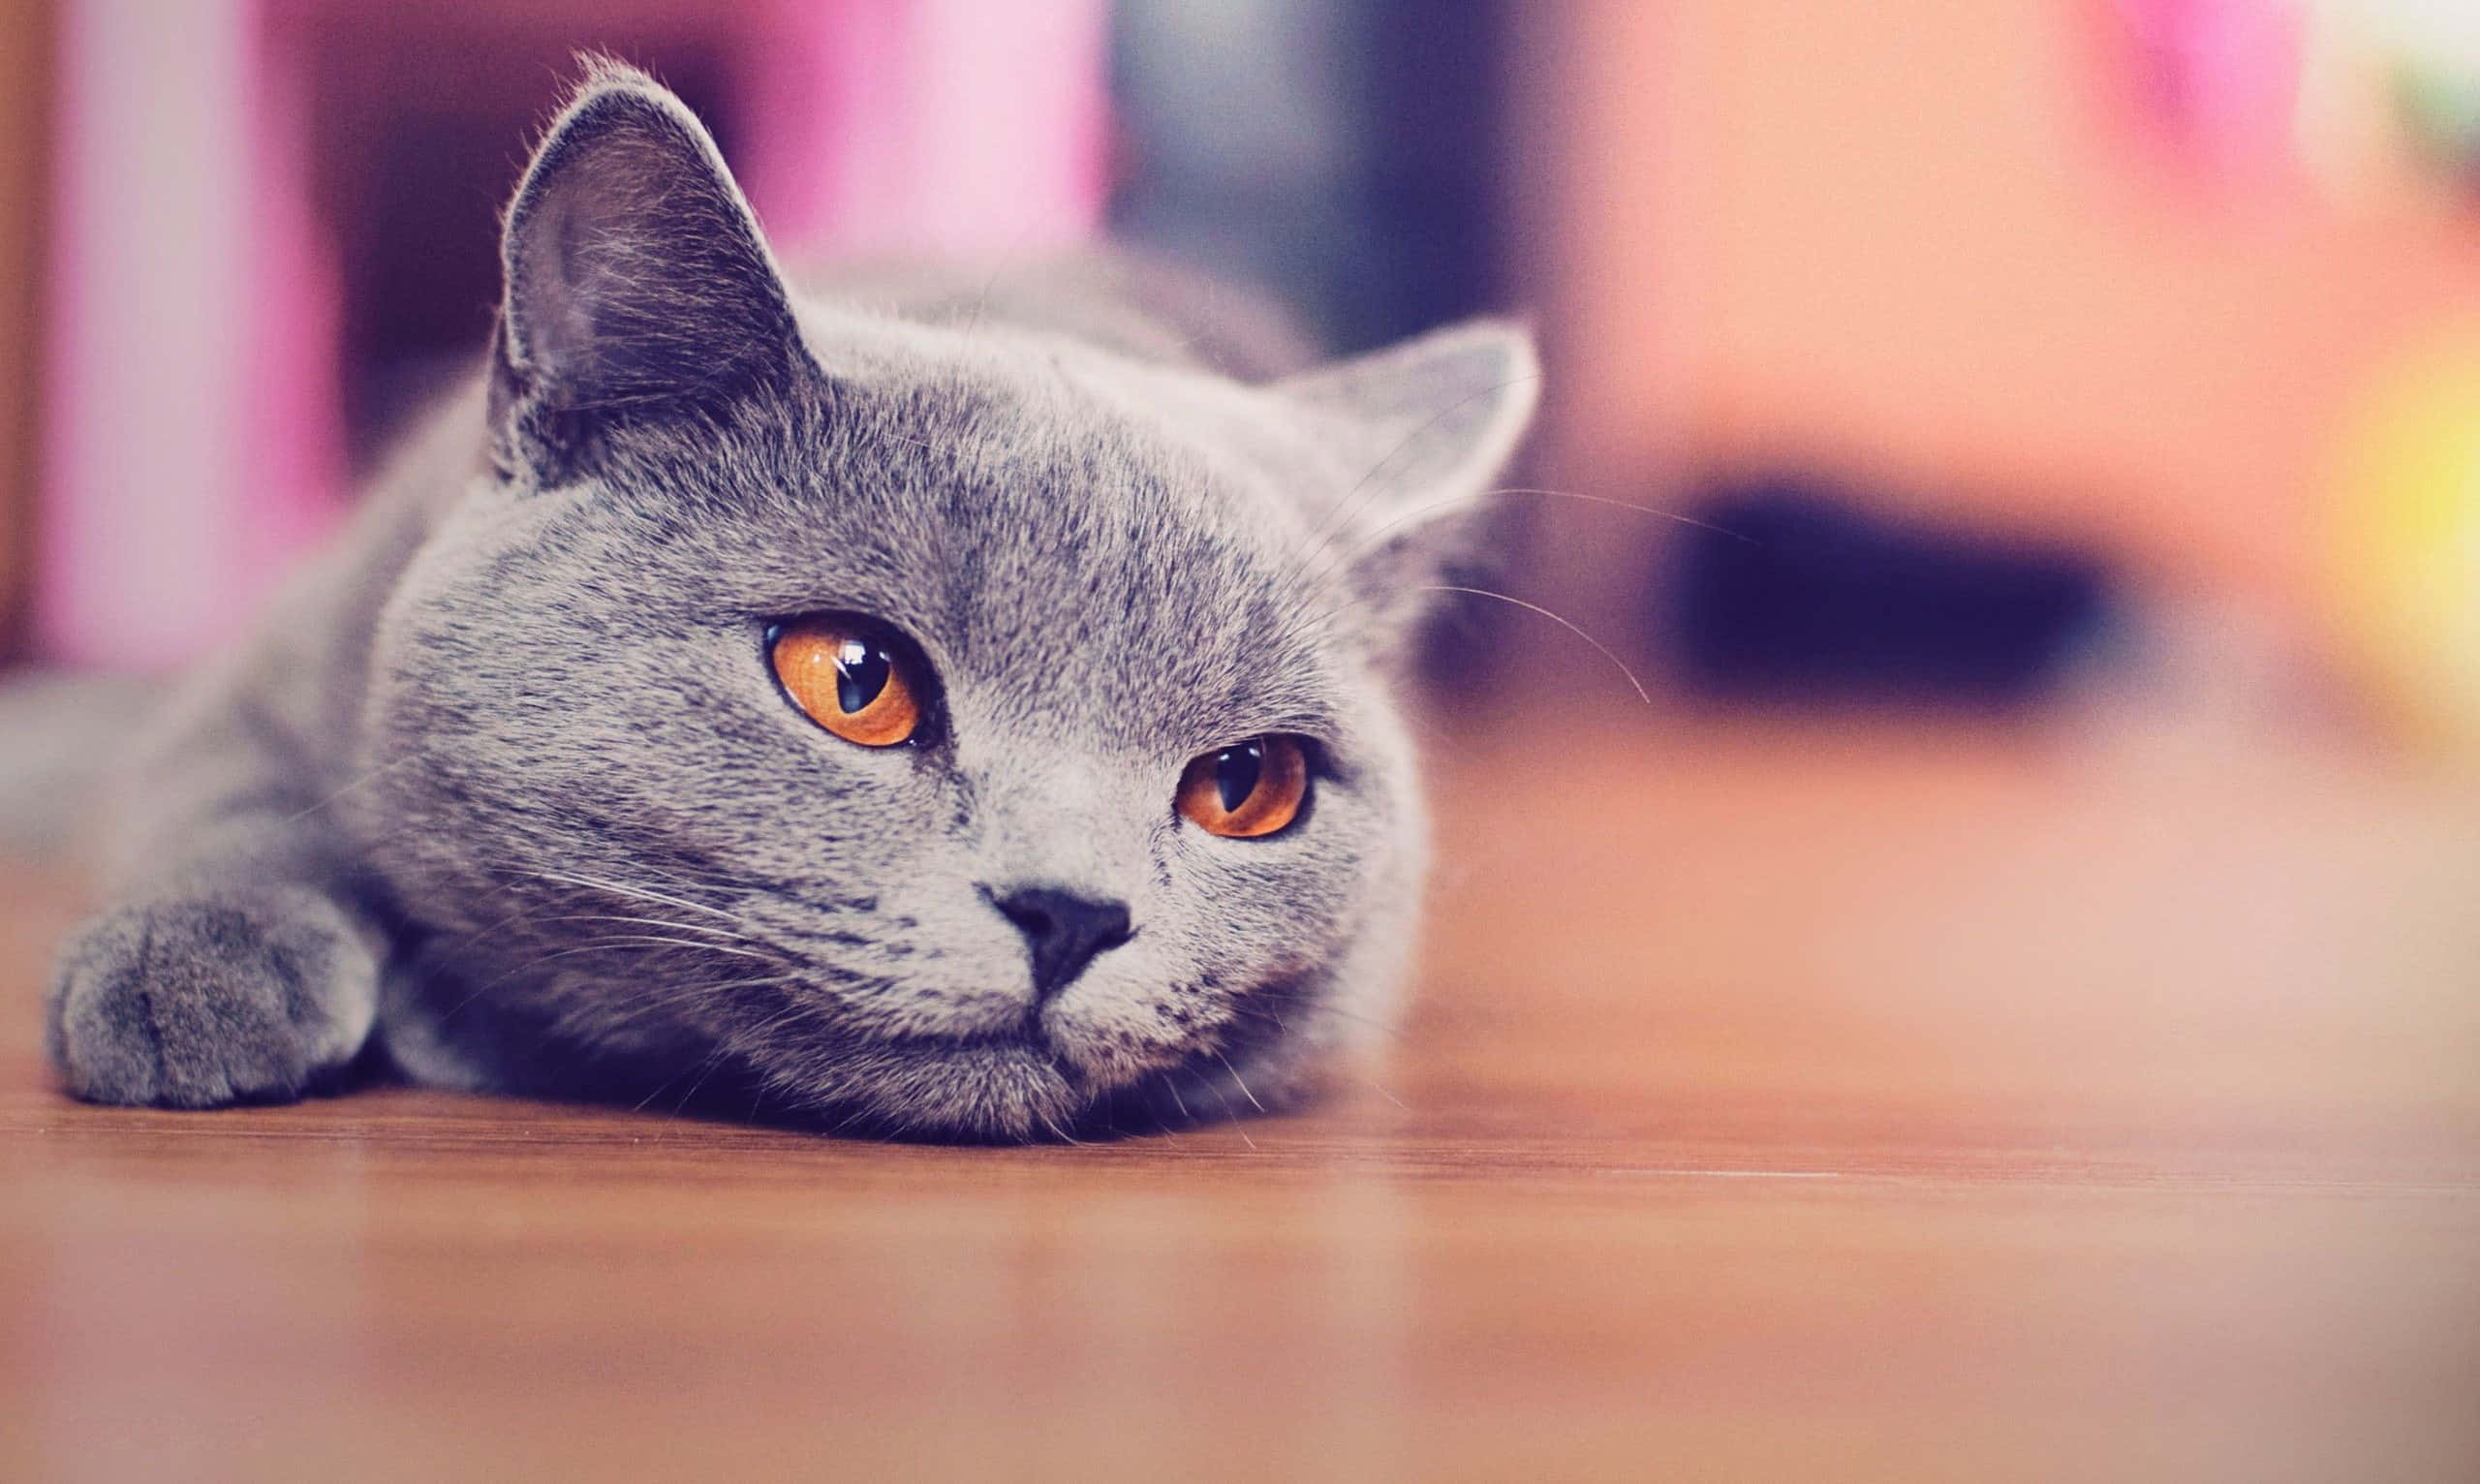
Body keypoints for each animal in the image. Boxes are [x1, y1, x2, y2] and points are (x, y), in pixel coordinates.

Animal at [39, 63, 1537, 1146]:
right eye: (853, 679)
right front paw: (196, 969)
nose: (1071, 912)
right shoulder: (274, 660)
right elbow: (225, 793)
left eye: (1247, 785)